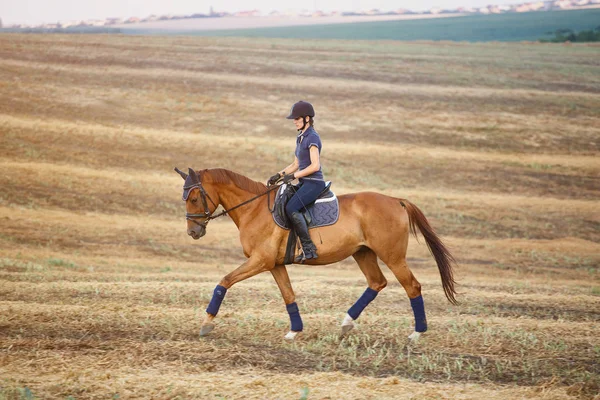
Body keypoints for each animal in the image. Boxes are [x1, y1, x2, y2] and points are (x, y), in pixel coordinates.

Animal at [176, 167, 458, 342]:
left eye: (193, 198)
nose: (192, 231)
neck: (254, 209)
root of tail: (395, 200)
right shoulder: (274, 264)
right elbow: (288, 295)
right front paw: (294, 331)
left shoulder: (260, 261)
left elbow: (224, 282)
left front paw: (206, 323)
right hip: (363, 253)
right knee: (376, 283)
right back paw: (346, 323)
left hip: (393, 257)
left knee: (412, 287)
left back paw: (416, 334)